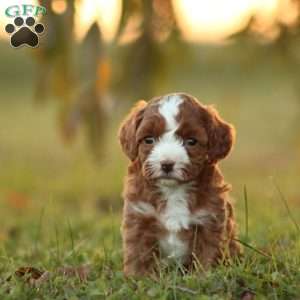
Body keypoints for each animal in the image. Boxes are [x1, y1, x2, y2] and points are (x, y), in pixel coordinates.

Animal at [118, 92, 240, 276]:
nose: (167, 164)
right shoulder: (139, 215)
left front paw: (204, 277)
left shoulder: (210, 220)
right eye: (149, 140)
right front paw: (138, 278)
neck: (173, 190)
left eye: (191, 141)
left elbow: (208, 253)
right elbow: (139, 255)